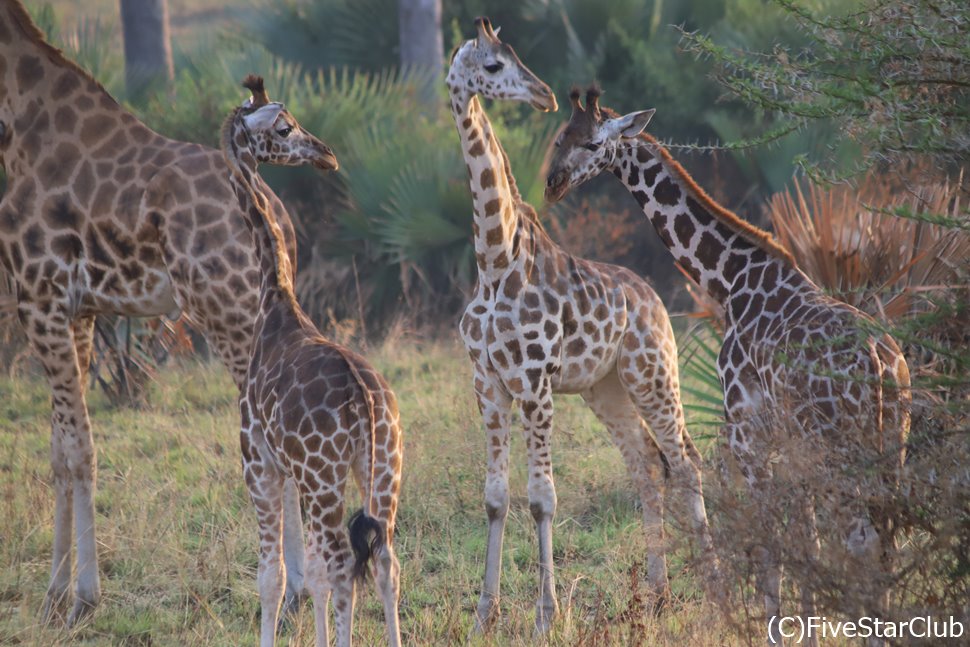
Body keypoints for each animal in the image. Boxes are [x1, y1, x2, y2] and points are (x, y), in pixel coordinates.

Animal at [0, 1, 306, 628]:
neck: (17, 126)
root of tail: (283, 220)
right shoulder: (76, 312)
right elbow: (59, 452)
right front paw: (54, 596)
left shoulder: (40, 301)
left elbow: (80, 450)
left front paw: (82, 598)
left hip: (234, 320)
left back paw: (292, 595)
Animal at [221, 77, 402, 647]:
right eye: (284, 128)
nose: (326, 154)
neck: (276, 303)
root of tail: (367, 401)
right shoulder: (293, 474)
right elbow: (314, 576)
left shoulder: (259, 463)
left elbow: (273, 576)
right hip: (382, 466)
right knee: (384, 560)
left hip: (325, 477)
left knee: (345, 563)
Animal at [450, 17, 716, 636]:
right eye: (494, 64)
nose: (543, 95)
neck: (495, 261)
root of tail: (656, 303)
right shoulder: (487, 384)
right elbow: (495, 497)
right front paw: (483, 616)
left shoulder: (536, 385)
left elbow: (542, 498)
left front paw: (545, 617)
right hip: (607, 389)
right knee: (647, 467)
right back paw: (657, 594)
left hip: (654, 377)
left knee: (686, 462)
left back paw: (717, 587)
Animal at [548, 87, 912, 647]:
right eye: (560, 137)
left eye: (591, 143)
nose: (553, 183)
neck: (730, 280)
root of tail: (878, 362)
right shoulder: (787, 441)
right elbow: (805, 538)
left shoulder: (747, 428)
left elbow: (772, 543)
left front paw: (777, 631)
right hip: (892, 439)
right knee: (886, 539)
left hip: (841, 446)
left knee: (861, 537)